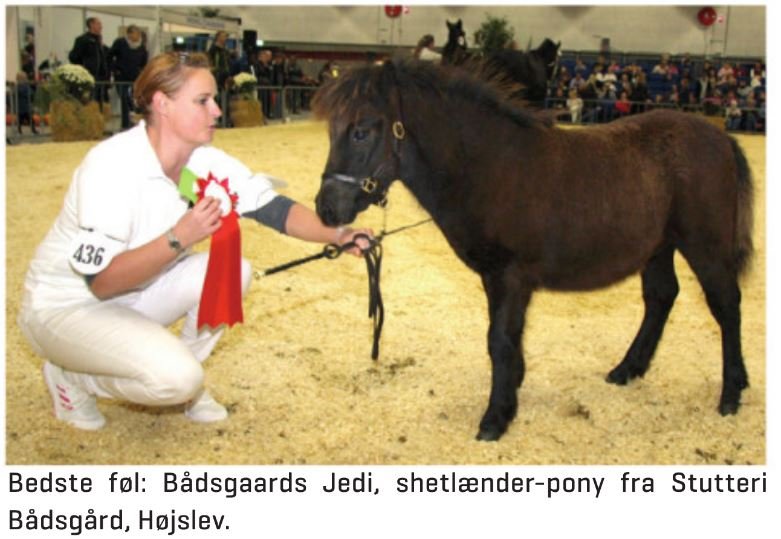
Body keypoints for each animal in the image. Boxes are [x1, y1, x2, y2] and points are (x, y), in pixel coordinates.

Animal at [311, 60, 754, 441]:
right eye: (332, 131)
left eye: (361, 131)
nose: (326, 209)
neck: (491, 166)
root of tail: (720, 137)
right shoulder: (500, 279)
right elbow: (508, 337)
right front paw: (513, 389)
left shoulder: (508, 275)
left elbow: (499, 340)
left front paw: (496, 417)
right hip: (659, 247)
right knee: (661, 297)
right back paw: (628, 369)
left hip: (705, 246)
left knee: (726, 305)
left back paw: (732, 393)